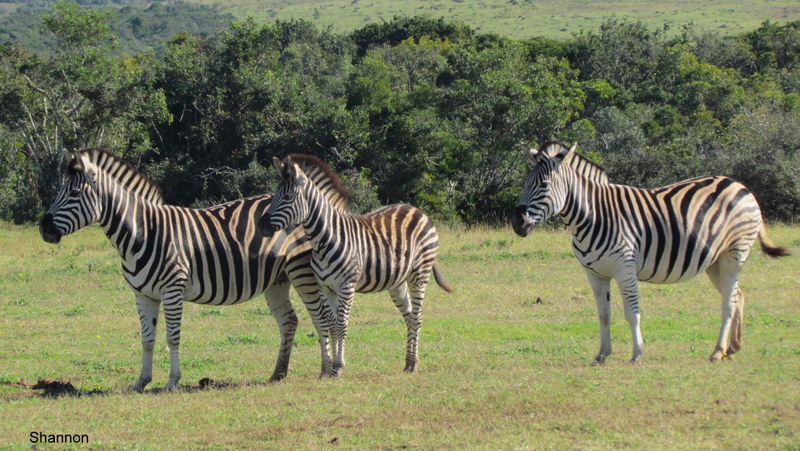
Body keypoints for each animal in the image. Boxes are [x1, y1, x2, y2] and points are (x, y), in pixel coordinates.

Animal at [39, 148, 338, 391]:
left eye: (74, 193)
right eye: (59, 191)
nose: (44, 229)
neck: (143, 233)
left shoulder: (172, 289)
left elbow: (172, 337)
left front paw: (172, 381)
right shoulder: (143, 294)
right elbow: (147, 338)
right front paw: (141, 381)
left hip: (301, 271)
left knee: (320, 317)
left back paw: (326, 370)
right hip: (277, 279)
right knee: (289, 321)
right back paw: (278, 373)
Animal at [257, 155, 452, 377]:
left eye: (288, 197)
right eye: (275, 196)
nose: (260, 226)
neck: (324, 240)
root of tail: (416, 209)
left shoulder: (346, 286)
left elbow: (341, 324)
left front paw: (338, 368)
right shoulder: (325, 286)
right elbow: (331, 324)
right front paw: (332, 368)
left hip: (419, 274)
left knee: (418, 317)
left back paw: (413, 365)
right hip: (397, 281)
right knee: (410, 317)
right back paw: (409, 362)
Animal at [511, 141, 788, 364]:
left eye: (544, 185)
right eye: (525, 184)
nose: (517, 222)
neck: (592, 216)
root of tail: (739, 185)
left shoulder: (625, 268)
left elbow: (632, 314)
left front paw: (637, 354)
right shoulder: (595, 274)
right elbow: (603, 314)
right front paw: (602, 354)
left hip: (735, 253)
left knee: (729, 303)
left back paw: (717, 352)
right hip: (715, 261)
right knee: (738, 296)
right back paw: (732, 348)